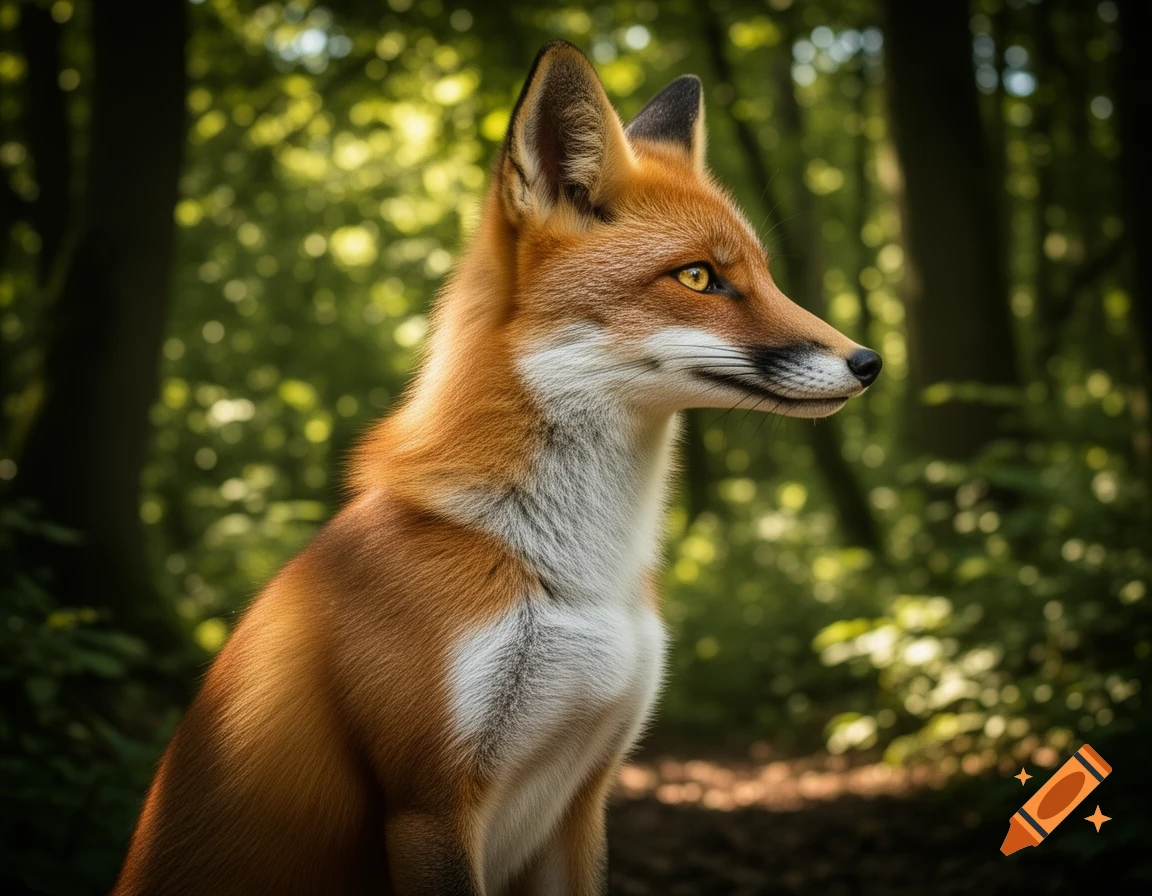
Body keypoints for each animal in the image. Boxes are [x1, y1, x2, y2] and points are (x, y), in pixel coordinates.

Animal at [114, 40, 881, 896]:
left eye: (766, 274)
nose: (870, 362)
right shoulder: (428, 803)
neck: (580, 574)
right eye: (698, 277)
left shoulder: (583, 793)